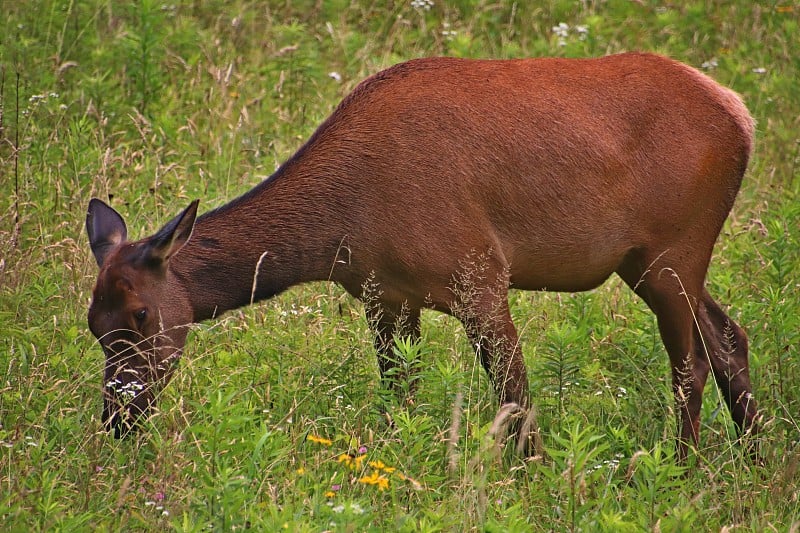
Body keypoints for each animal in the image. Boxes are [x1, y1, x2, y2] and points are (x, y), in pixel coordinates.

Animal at [86, 54, 756, 460]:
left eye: (141, 315)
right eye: (92, 325)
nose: (117, 419)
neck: (341, 228)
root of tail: (742, 114)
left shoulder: (479, 274)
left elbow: (514, 392)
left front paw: (534, 475)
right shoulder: (385, 295)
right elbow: (398, 392)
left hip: (675, 247)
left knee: (691, 363)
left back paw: (684, 467)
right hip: (644, 260)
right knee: (730, 337)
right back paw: (752, 451)